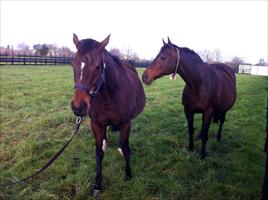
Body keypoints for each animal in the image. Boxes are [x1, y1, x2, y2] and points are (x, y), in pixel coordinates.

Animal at [70, 34, 146, 194]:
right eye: (73, 64)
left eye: (98, 66)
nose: (78, 107)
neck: (109, 96)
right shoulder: (96, 125)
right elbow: (99, 153)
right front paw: (97, 184)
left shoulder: (125, 123)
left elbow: (126, 148)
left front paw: (128, 174)